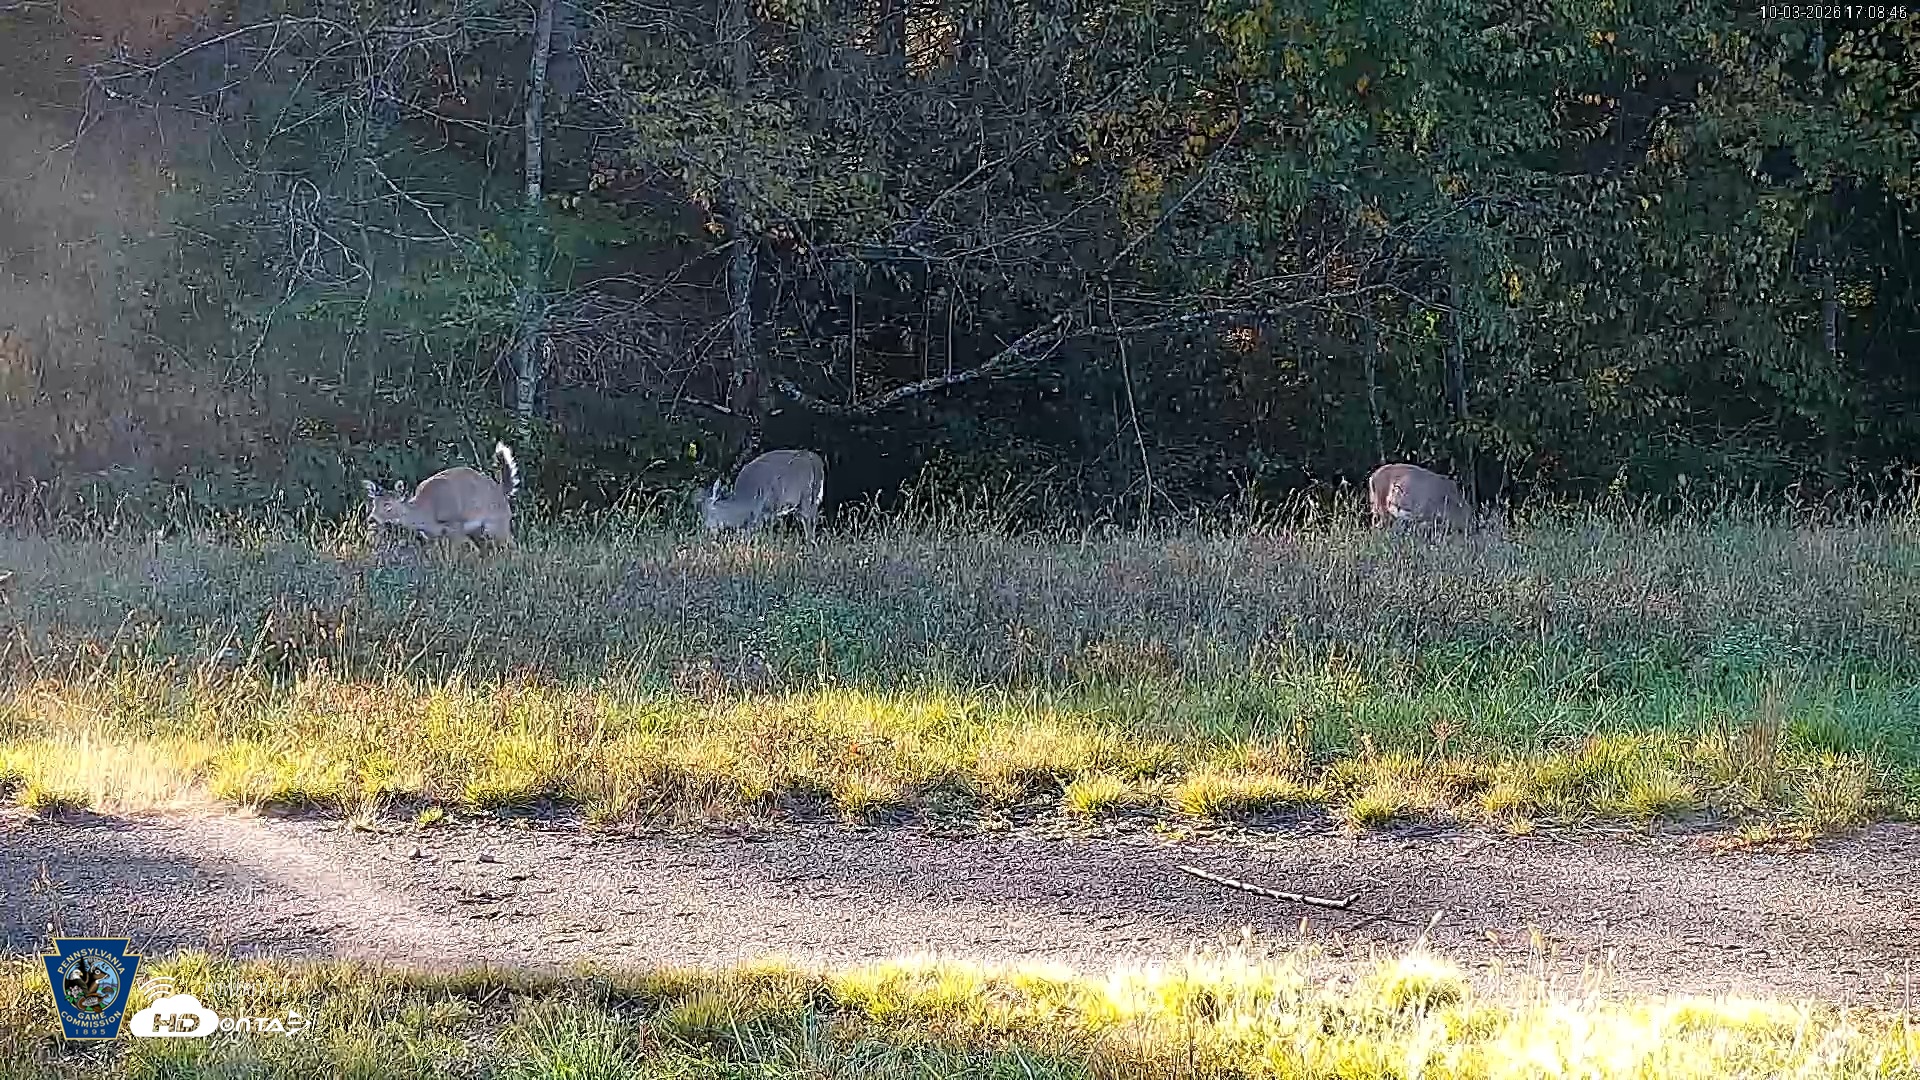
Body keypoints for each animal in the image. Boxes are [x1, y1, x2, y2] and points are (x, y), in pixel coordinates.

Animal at [364, 442, 521, 548]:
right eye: (373, 503)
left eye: (388, 505)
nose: (371, 519)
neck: (426, 513)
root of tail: (502, 490)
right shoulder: (433, 536)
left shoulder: (455, 525)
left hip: (497, 523)